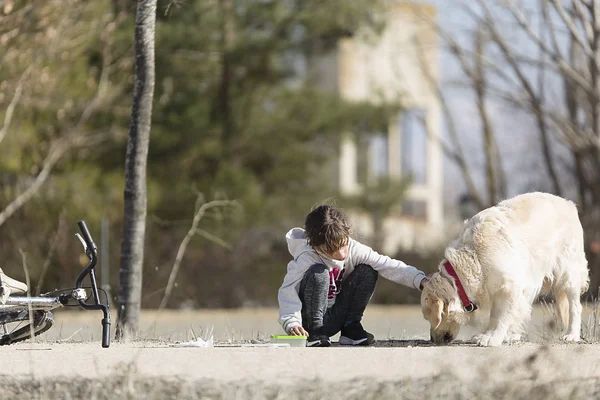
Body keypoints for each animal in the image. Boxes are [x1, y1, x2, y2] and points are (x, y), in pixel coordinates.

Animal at [422, 192, 592, 346]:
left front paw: (494, 338)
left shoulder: (510, 287)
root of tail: (568, 203)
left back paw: (572, 335)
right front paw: (489, 335)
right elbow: (496, 316)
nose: (432, 339)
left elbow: (501, 317)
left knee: (575, 307)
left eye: (428, 317)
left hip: (569, 274)